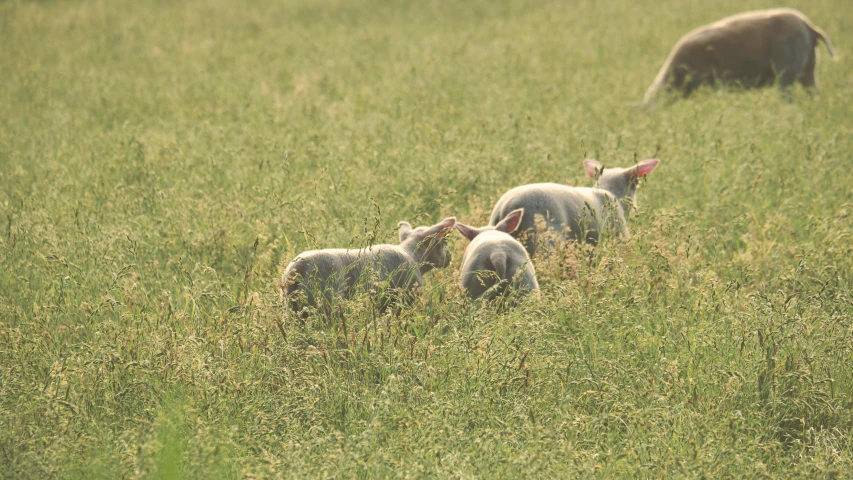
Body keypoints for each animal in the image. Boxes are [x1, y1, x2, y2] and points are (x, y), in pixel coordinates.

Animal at [278, 217, 452, 316]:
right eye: (443, 242)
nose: (450, 258)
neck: (412, 254)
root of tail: (298, 268)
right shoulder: (405, 298)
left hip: (291, 308)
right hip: (327, 302)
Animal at [644, 7, 836, 103]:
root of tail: (809, 26)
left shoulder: (713, 82)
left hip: (786, 70)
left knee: (789, 99)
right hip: (809, 69)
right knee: (814, 95)